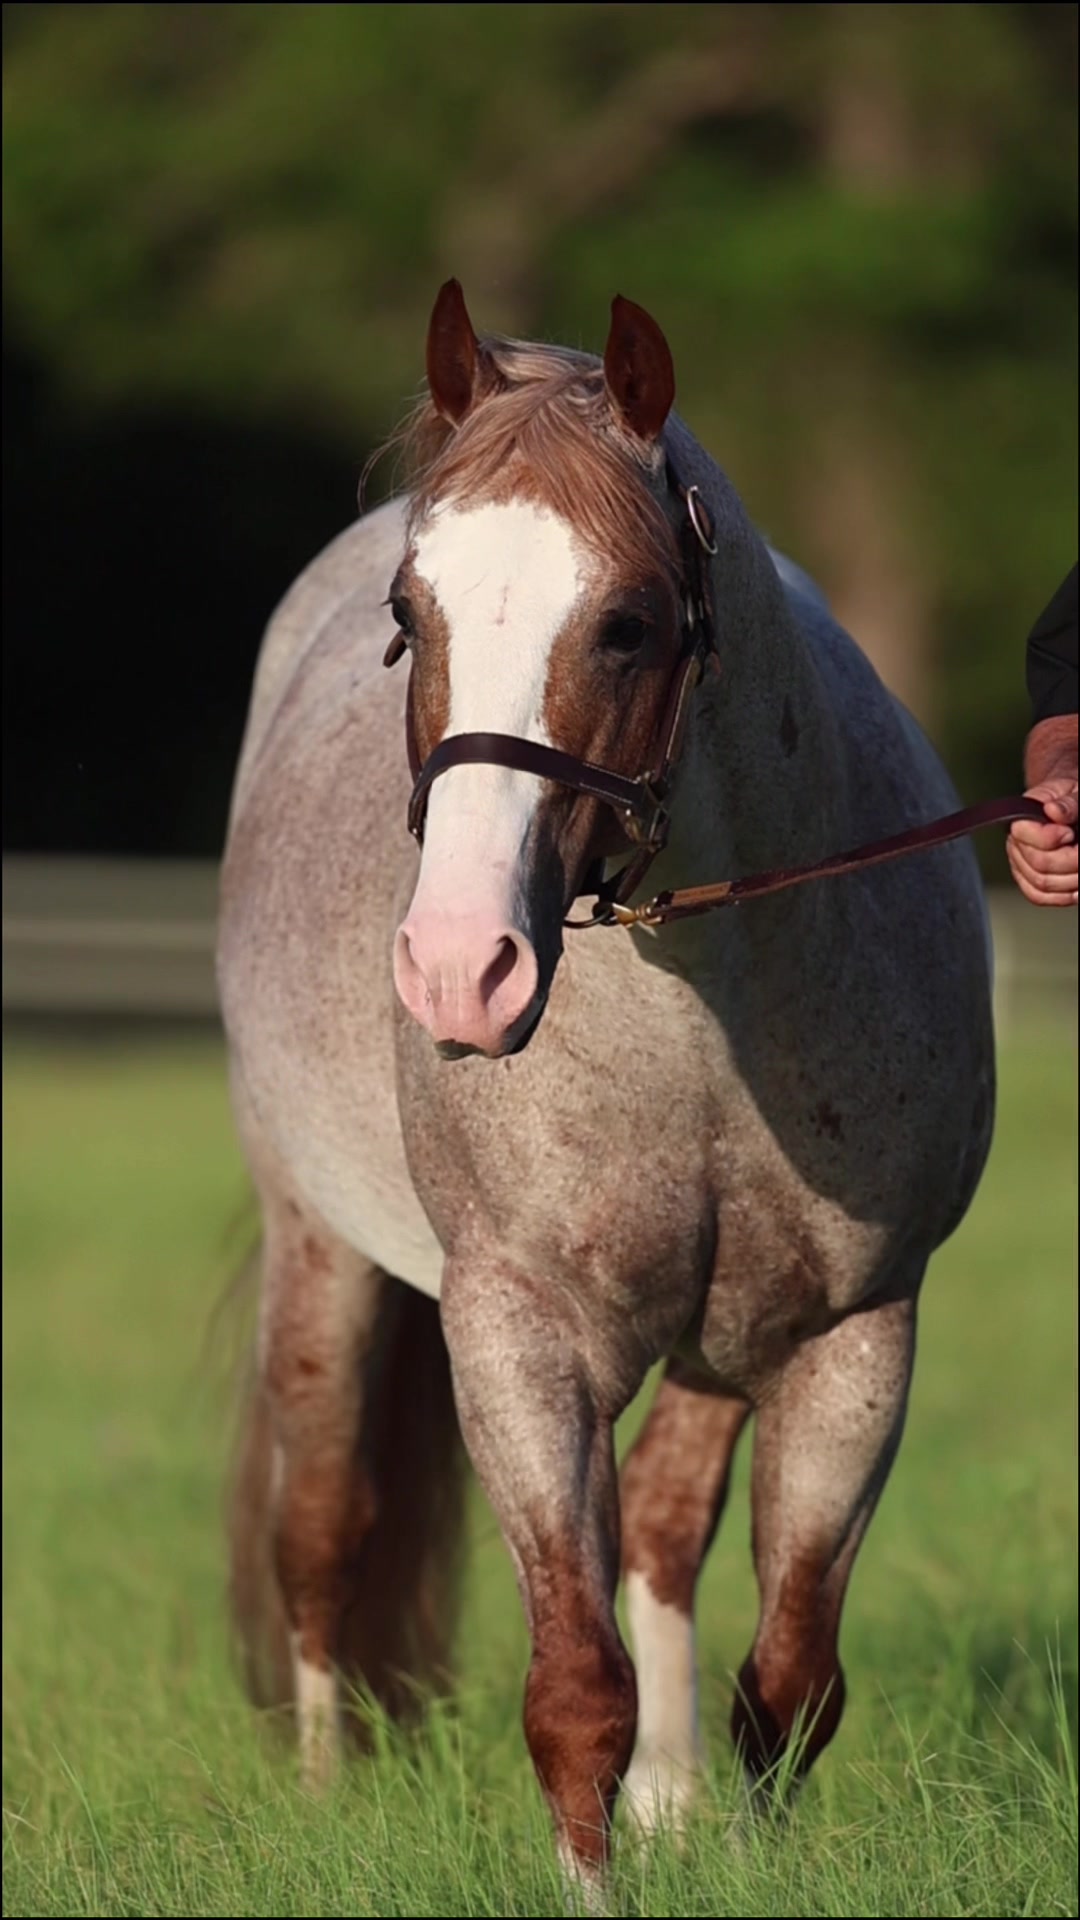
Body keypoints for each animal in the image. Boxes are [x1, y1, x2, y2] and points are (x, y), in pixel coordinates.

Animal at [217, 281, 995, 1894]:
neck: (701, 1022)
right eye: (410, 619)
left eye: (629, 624)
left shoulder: (852, 1342)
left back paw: (677, 1805)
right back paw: (321, 1801)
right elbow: (576, 1695)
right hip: (317, 1249)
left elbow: (789, 1681)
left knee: (665, 1534)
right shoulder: (524, 1343)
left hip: (723, 1338)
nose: (460, 969)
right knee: (320, 1533)